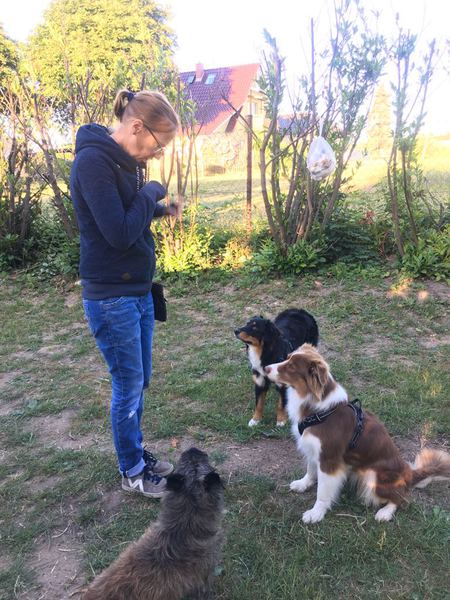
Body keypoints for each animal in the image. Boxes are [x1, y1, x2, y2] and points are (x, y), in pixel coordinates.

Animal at [265, 344, 450, 523]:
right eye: (287, 358)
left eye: (291, 367)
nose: (266, 368)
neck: (320, 411)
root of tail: (409, 473)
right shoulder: (313, 449)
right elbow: (310, 469)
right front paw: (303, 484)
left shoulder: (329, 458)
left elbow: (322, 492)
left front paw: (316, 513)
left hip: (373, 476)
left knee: (402, 498)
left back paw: (385, 513)